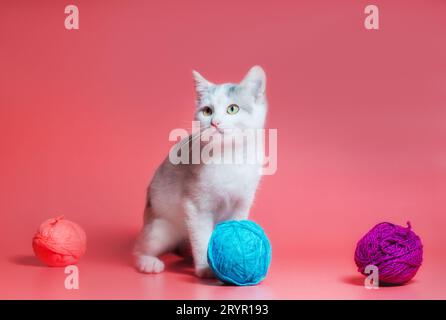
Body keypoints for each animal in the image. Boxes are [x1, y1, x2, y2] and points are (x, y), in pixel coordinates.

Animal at [133, 65, 268, 278]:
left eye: (233, 108)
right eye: (207, 111)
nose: (214, 122)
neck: (229, 156)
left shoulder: (242, 203)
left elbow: (237, 223)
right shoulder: (196, 206)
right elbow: (202, 236)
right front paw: (206, 269)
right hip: (161, 228)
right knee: (139, 247)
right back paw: (148, 261)